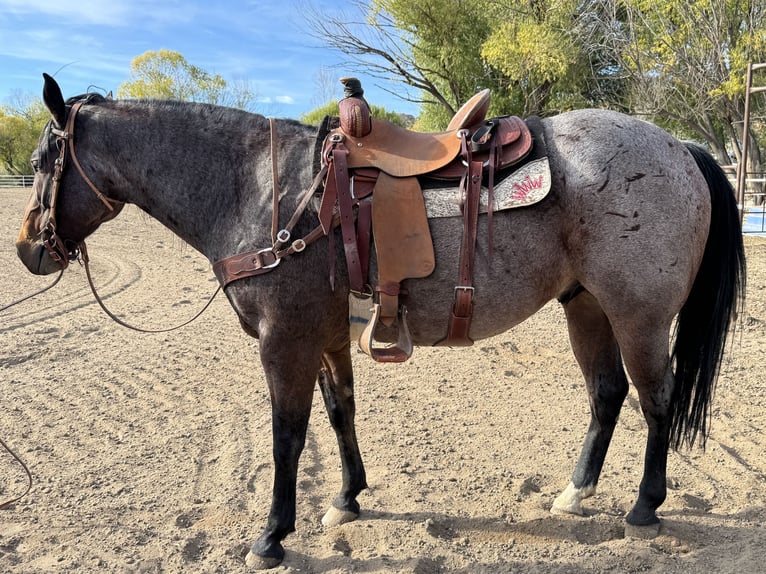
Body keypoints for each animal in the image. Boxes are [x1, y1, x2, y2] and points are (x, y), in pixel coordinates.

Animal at [16, 74, 745, 569]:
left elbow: (287, 436)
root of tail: (679, 147)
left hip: (638, 315)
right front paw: (348, 498)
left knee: (656, 400)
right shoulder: (327, 336)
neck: (259, 189)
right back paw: (574, 494)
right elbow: (341, 413)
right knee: (607, 394)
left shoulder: (285, 342)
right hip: (585, 306)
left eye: (42, 163)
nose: (28, 250)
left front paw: (272, 536)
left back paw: (644, 508)